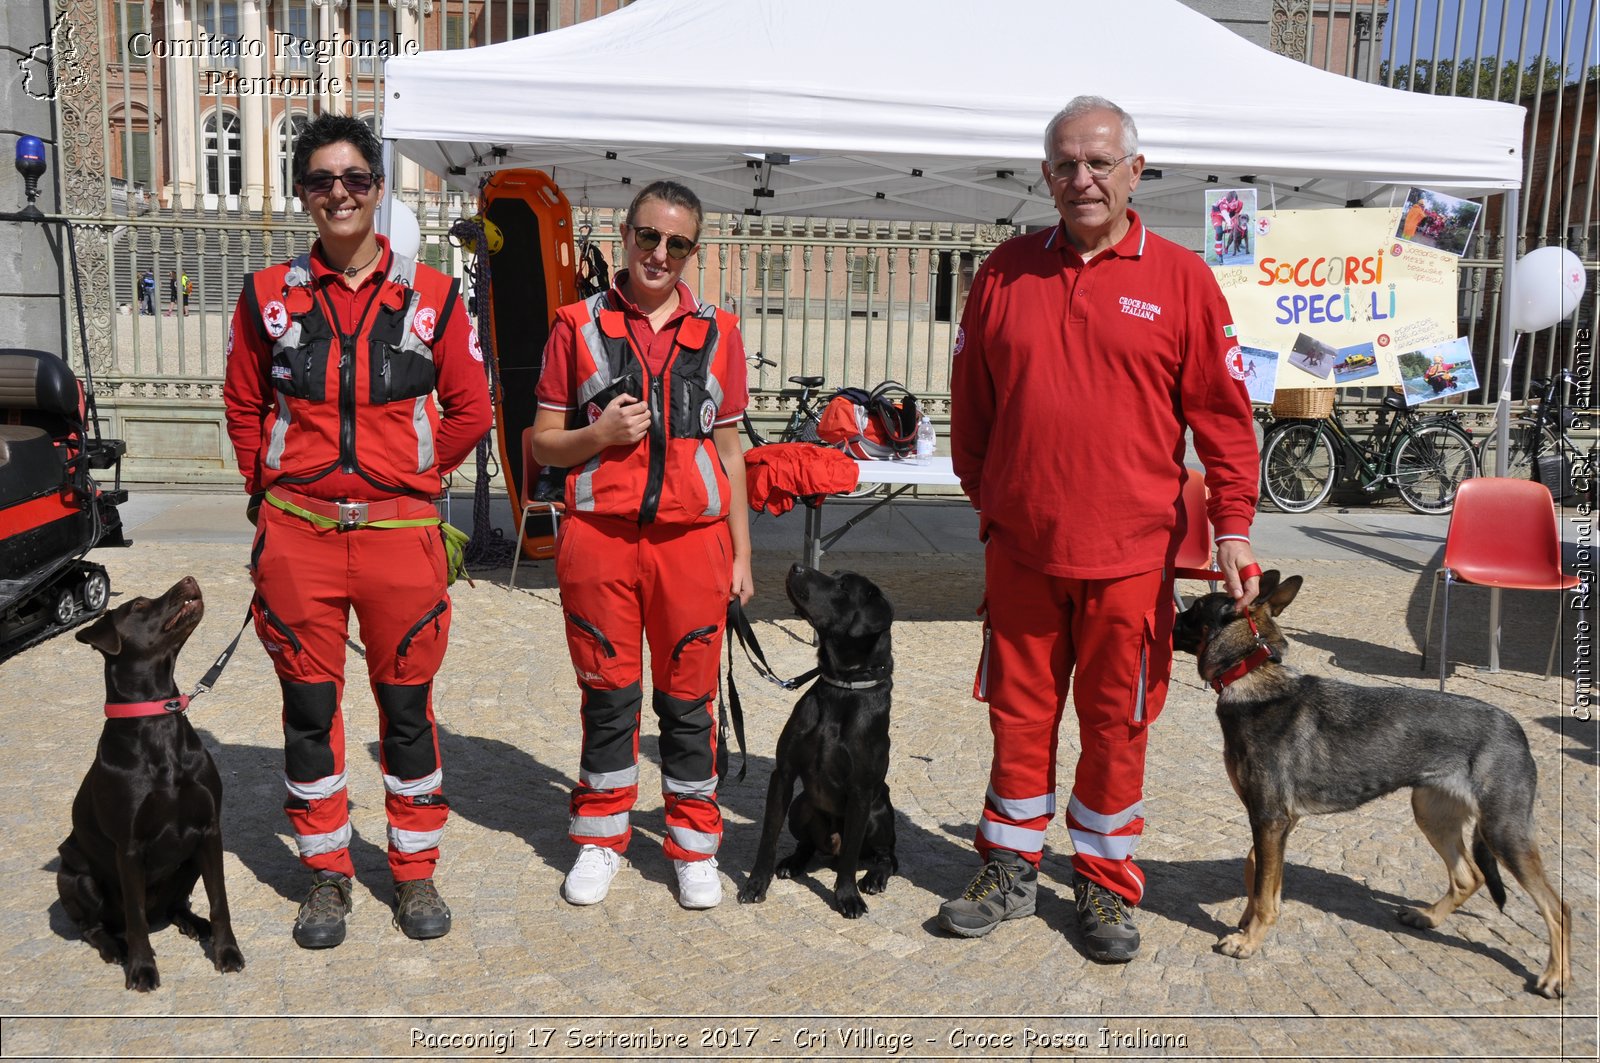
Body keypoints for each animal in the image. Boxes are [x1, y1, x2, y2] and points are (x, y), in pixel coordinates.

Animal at [58, 576, 243, 992]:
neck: (157, 720)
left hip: (188, 861)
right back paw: (116, 948)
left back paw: (195, 924)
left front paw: (227, 951)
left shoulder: (209, 830)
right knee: (96, 925)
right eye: (139, 606)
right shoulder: (128, 848)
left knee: (174, 906)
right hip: (74, 876)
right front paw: (142, 969)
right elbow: (135, 917)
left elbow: (220, 900)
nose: (189, 579)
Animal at [739, 569, 902, 915]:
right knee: (808, 844)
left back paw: (874, 878)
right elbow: (768, 837)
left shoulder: (860, 792)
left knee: (886, 857)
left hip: (878, 813)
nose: (796, 567)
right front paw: (756, 885)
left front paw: (847, 897)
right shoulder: (784, 774)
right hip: (802, 806)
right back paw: (793, 862)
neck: (842, 688)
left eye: (843, 586)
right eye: (835, 574)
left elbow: (851, 857)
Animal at [1177, 573, 1574, 998]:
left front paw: (1249, 941)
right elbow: (1258, 873)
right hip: (1432, 813)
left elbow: (1264, 888)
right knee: (1470, 876)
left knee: (1557, 907)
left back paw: (1555, 976)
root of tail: (1516, 729)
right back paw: (1427, 917)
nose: (1164, 617)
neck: (1253, 676)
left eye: (1195, 607)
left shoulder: (1270, 818)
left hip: (1503, 831)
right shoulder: (1277, 821)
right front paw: (1248, 920)